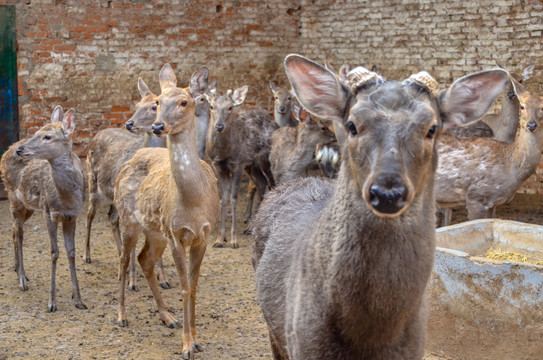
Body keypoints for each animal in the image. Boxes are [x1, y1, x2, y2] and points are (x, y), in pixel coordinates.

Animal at [0, 105, 87, 312]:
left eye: (47, 136)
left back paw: (18, 270)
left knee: (14, 230)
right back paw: (22, 279)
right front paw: (52, 303)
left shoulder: (73, 216)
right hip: (14, 198)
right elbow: (54, 252)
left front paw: (78, 300)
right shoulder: (49, 212)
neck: (66, 199)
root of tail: (5, 152)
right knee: (18, 232)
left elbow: (71, 252)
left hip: (29, 206)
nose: (20, 150)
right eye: (36, 132)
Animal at [114, 64, 219, 360]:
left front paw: (196, 340)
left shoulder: (204, 235)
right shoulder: (176, 234)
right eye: (158, 102)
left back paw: (167, 317)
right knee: (124, 260)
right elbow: (184, 287)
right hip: (128, 219)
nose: (158, 126)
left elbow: (193, 286)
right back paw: (121, 315)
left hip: (155, 231)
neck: (194, 202)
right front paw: (187, 345)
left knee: (144, 260)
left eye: (184, 102)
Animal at [206, 83, 278, 249]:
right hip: (251, 166)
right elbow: (222, 199)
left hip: (265, 159)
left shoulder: (237, 165)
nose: (219, 126)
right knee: (261, 183)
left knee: (272, 183)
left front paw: (234, 240)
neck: (223, 153)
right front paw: (219, 239)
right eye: (212, 106)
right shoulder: (217, 166)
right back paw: (250, 227)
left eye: (230, 107)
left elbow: (233, 198)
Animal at [253, 54, 512, 360]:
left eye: (432, 128)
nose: (387, 193)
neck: (372, 338)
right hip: (274, 330)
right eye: (352, 124)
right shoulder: (303, 344)